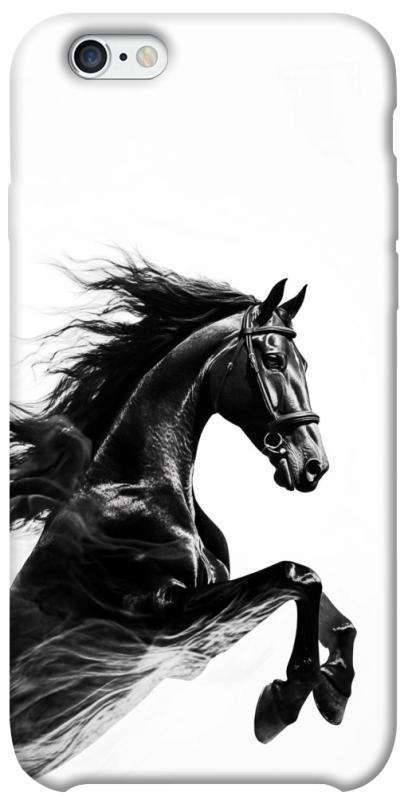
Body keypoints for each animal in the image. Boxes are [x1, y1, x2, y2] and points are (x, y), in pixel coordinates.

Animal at [10, 257, 356, 778]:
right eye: (274, 359)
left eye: (306, 364)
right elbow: (297, 575)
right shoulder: (164, 623)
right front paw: (283, 703)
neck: (138, 491)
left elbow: (325, 605)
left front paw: (334, 690)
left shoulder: (197, 639)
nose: (314, 464)